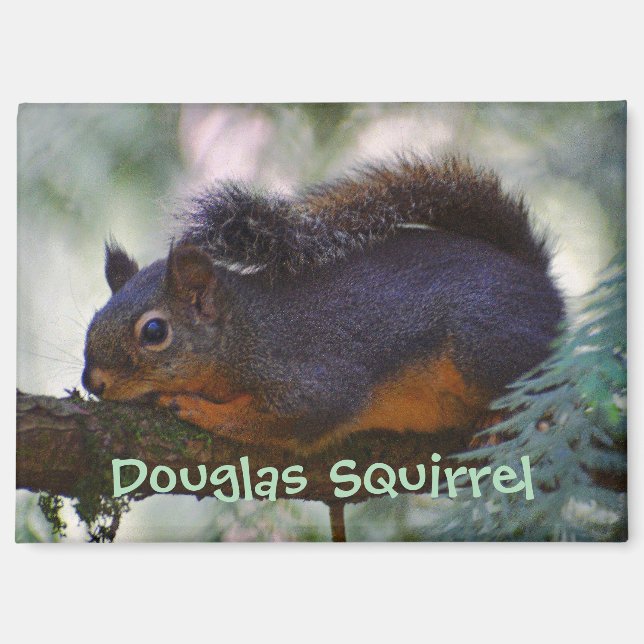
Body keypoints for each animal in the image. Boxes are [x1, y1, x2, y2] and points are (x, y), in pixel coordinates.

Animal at [82, 155, 564, 453]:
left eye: (154, 332)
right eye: (95, 317)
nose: (93, 383)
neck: (245, 332)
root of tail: (539, 281)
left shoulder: (312, 381)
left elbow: (273, 422)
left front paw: (197, 409)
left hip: (483, 341)